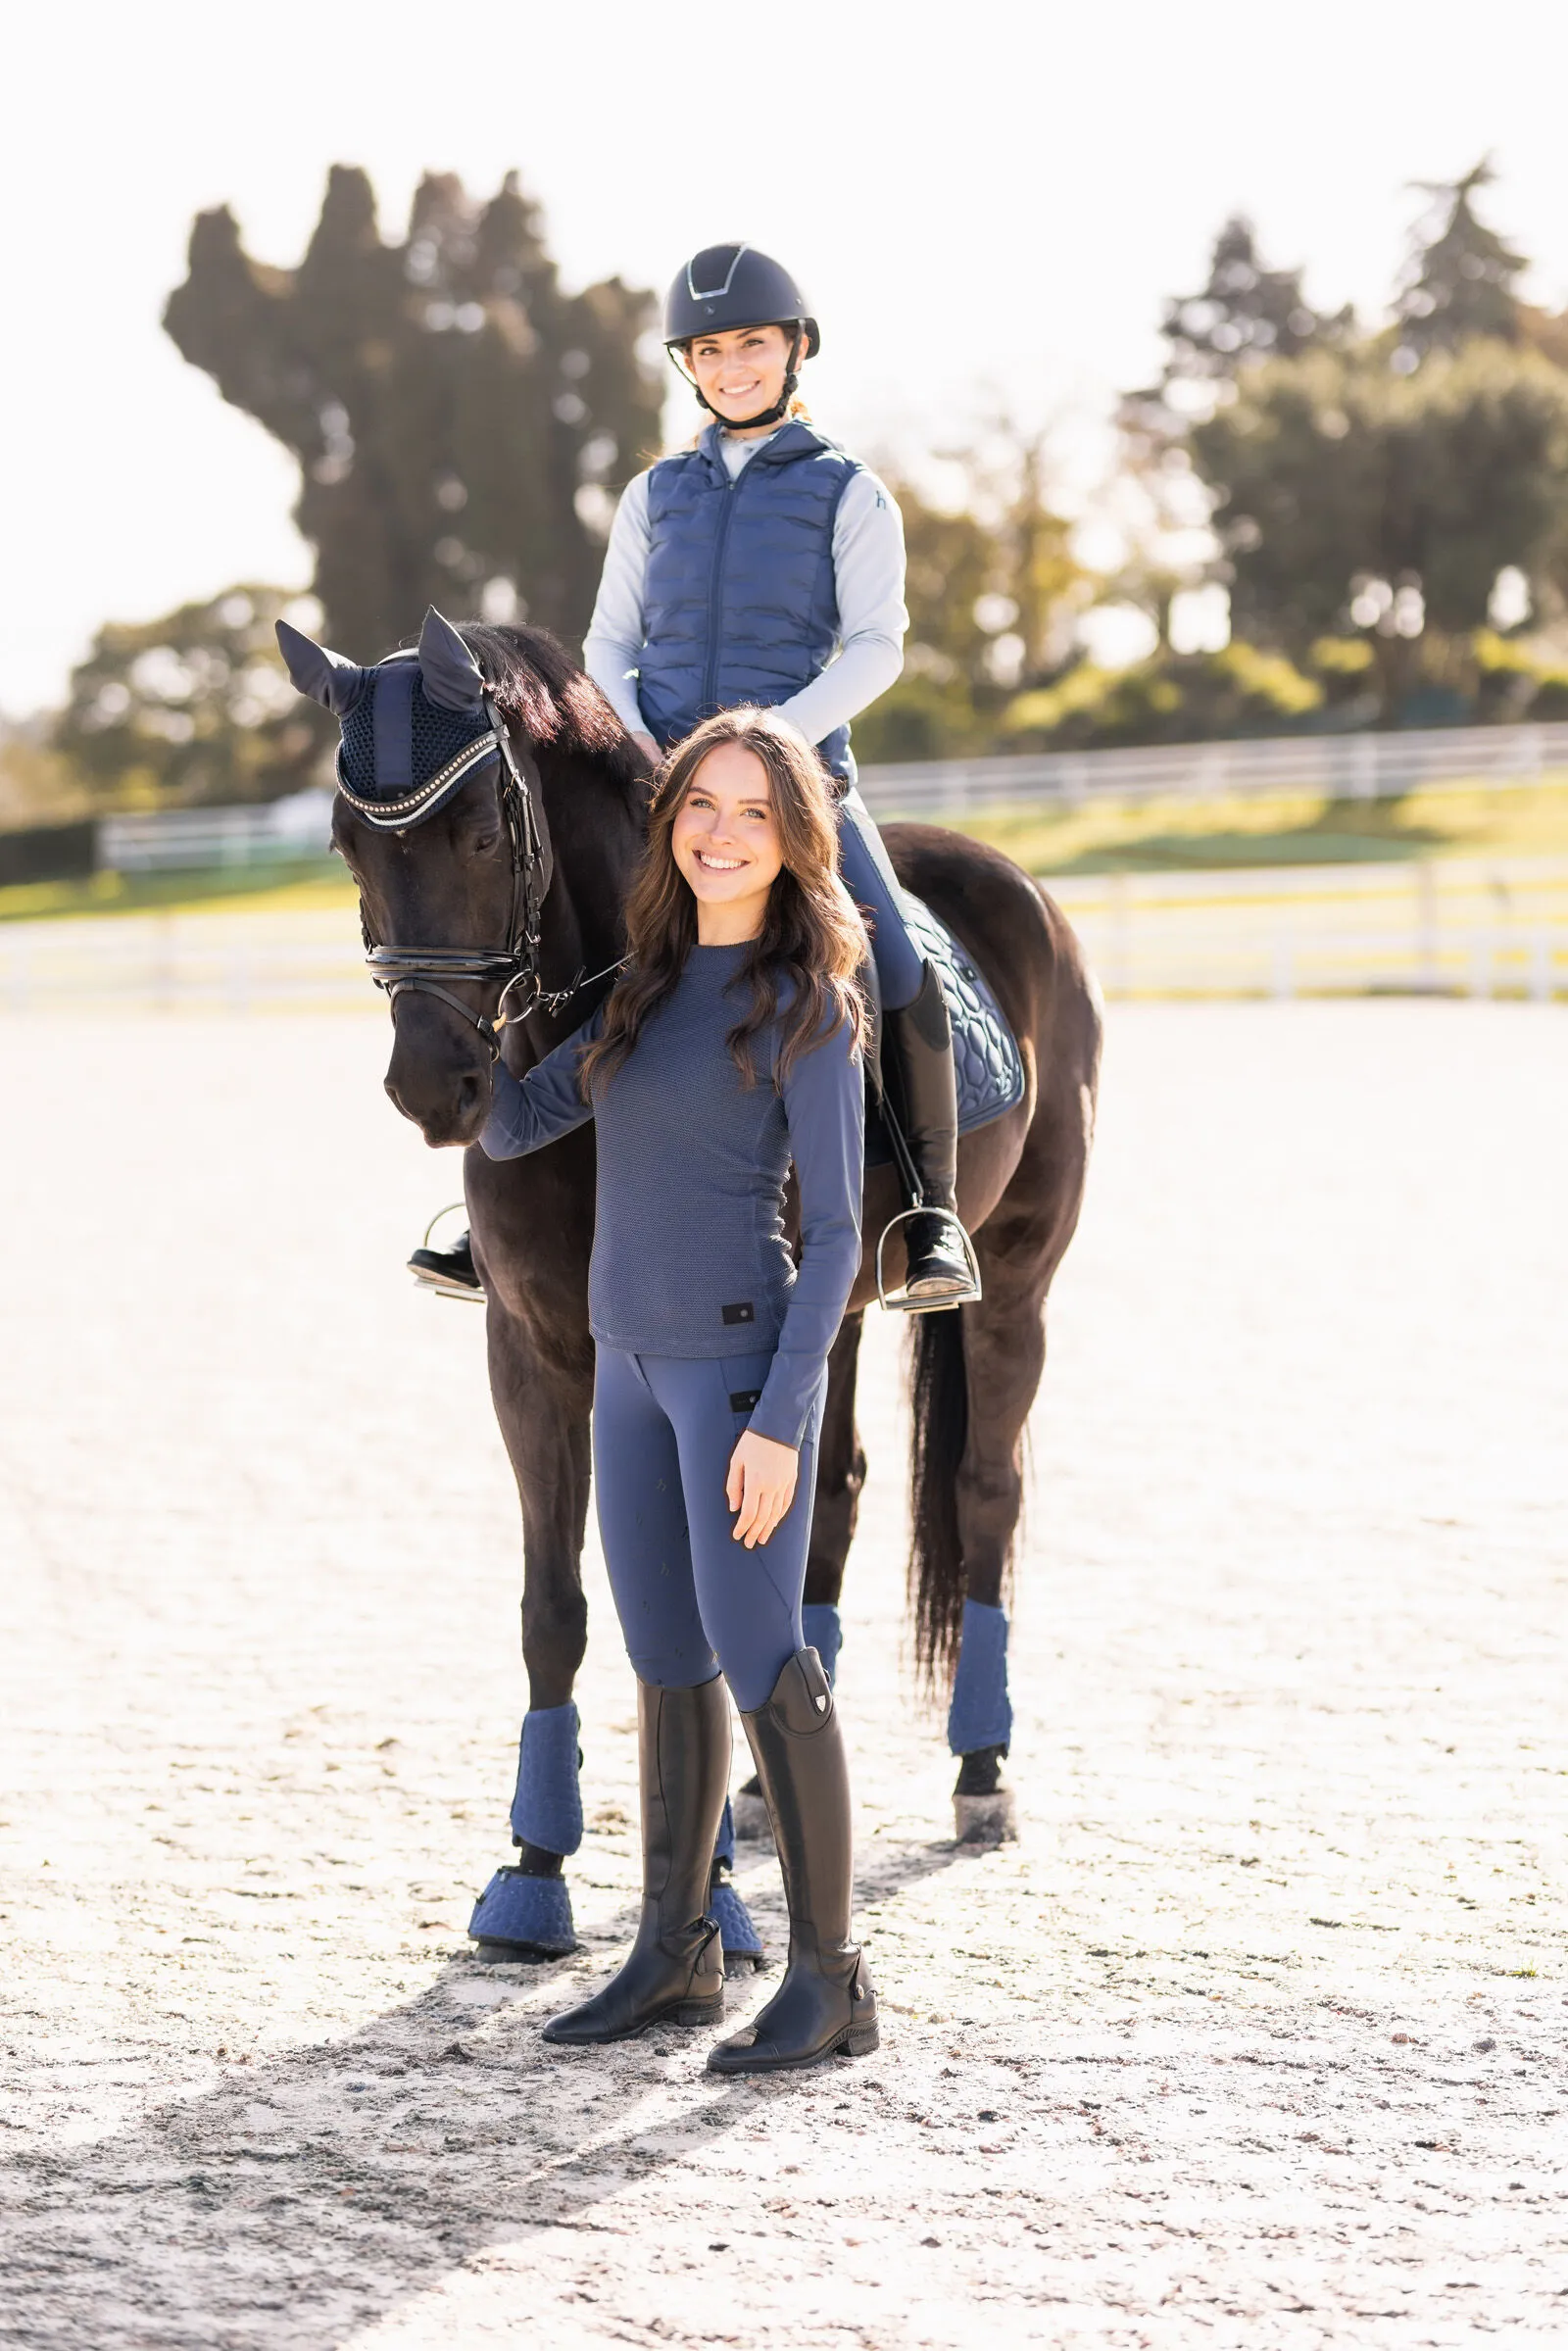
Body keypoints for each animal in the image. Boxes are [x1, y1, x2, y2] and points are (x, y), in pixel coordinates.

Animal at [301, 615, 1100, 1955]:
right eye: (347, 843)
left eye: (480, 837)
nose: (433, 1086)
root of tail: (1018, 884)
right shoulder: (531, 1355)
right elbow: (557, 1606)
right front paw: (534, 1866)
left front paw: (707, 1899)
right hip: (829, 1318)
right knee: (832, 1494)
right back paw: (779, 1782)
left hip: (1019, 1280)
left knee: (984, 1493)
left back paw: (981, 1769)